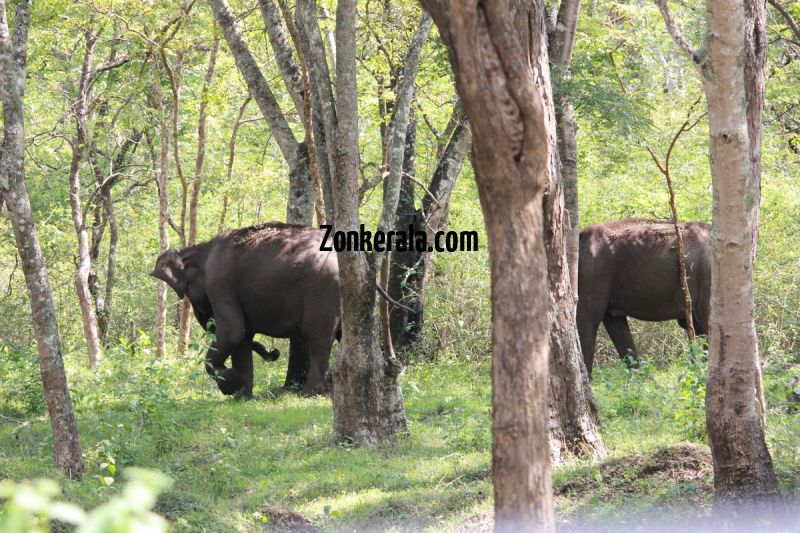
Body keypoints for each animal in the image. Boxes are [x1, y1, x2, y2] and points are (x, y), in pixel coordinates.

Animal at [152, 220, 340, 394]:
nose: (274, 352)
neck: (203, 248)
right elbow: (243, 338)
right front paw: (242, 394)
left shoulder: (219, 282)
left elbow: (233, 331)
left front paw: (230, 382)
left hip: (321, 289)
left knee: (318, 337)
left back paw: (309, 392)